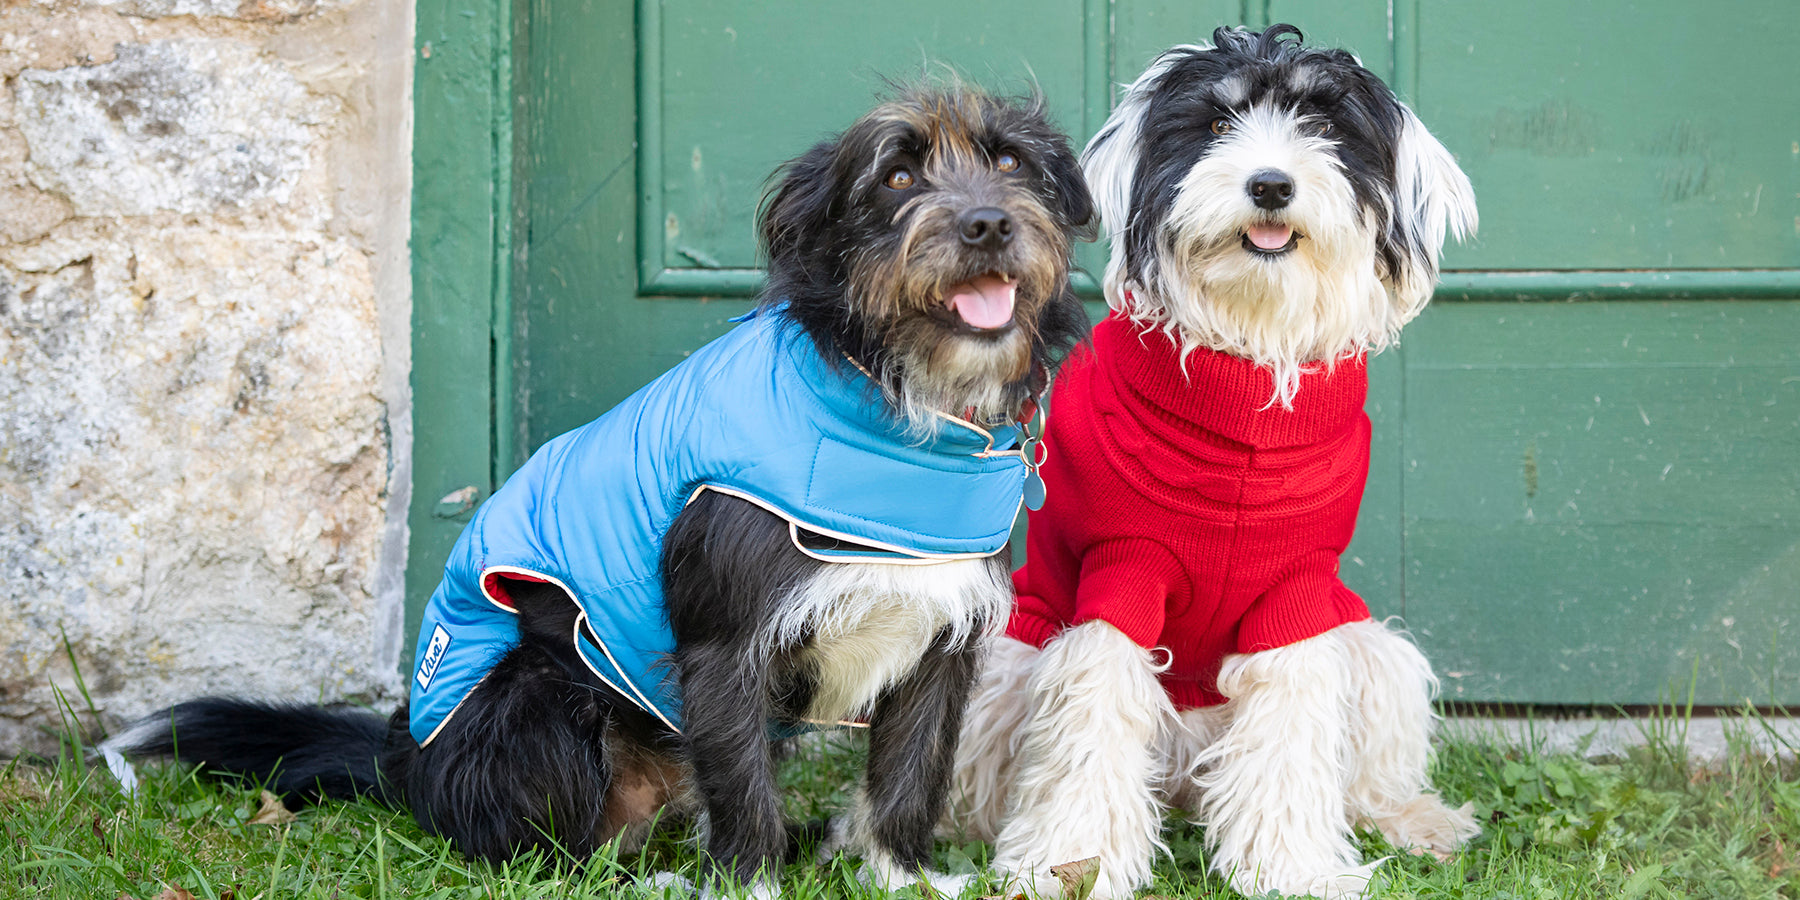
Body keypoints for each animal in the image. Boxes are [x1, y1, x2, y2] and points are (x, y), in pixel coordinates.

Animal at [105, 84, 1087, 892]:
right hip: (544, 697)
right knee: (545, 855)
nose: (987, 226)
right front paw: (749, 885)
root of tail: (406, 766)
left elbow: (907, 779)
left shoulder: (938, 645)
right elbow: (743, 794)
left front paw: (900, 875)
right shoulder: (724, 646)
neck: (896, 406)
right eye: (895, 175)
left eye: (1010, 163)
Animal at [950, 24, 1483, 896]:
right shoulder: (1121, 574)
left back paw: (1416, 821)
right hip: (1005, 656)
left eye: (1323, 124)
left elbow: (1293, 732)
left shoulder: (1294, 595)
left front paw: (1293, 867)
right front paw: (1072, 862)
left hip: (1371, 648)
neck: (1244, 393)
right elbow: (1092, 716)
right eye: (1214, 124)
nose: (1269, 184)